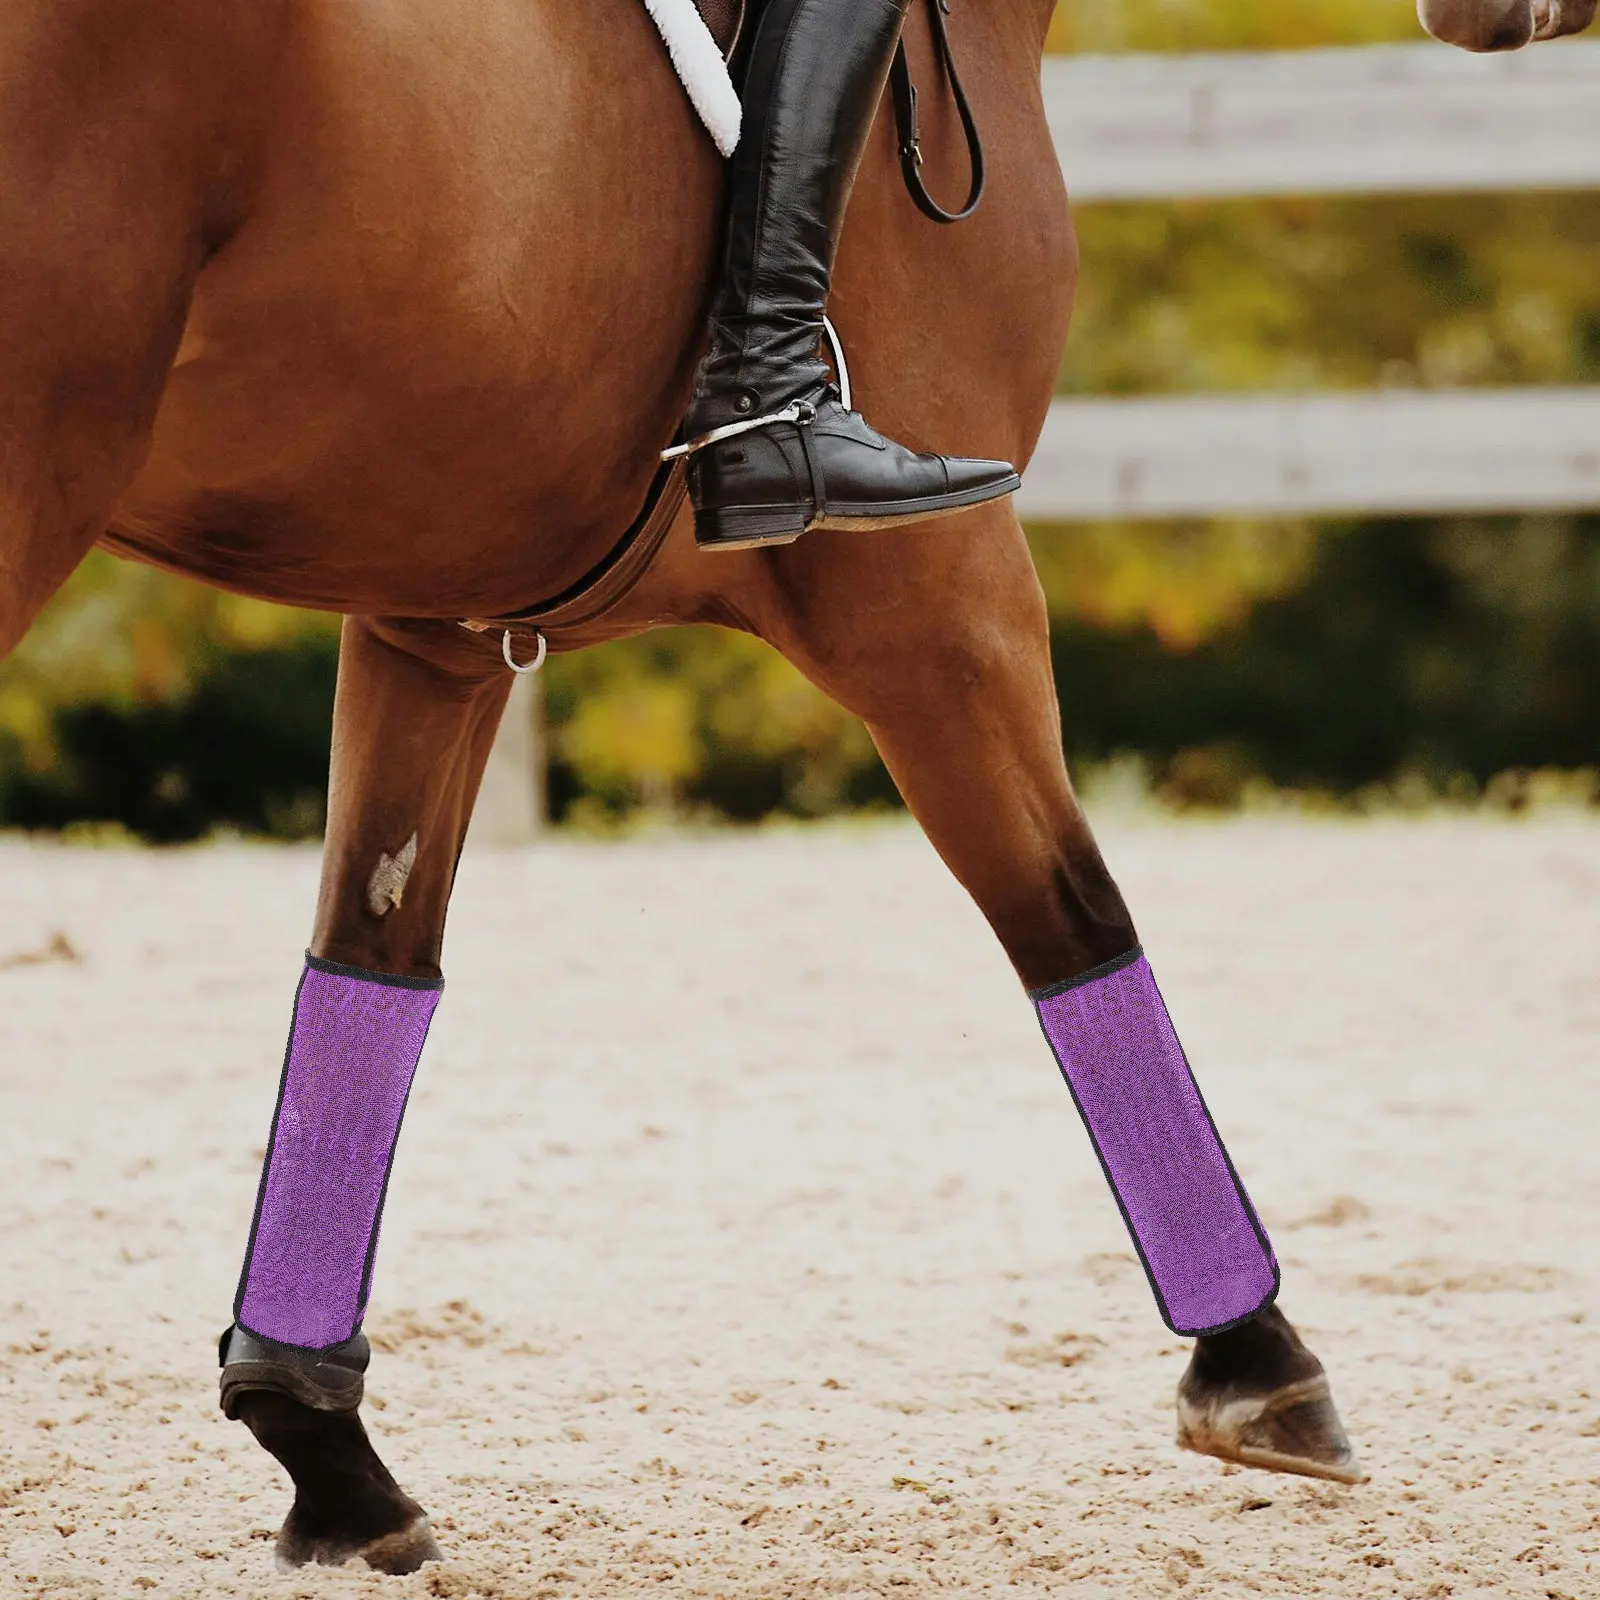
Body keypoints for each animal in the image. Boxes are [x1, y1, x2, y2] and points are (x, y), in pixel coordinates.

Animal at [0, 0, 1360, 1573]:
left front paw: (325, 1455)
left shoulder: (437, 619)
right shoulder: (938, 599)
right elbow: (1075, 922)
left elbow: (374, 963)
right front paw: (1258, 1357)